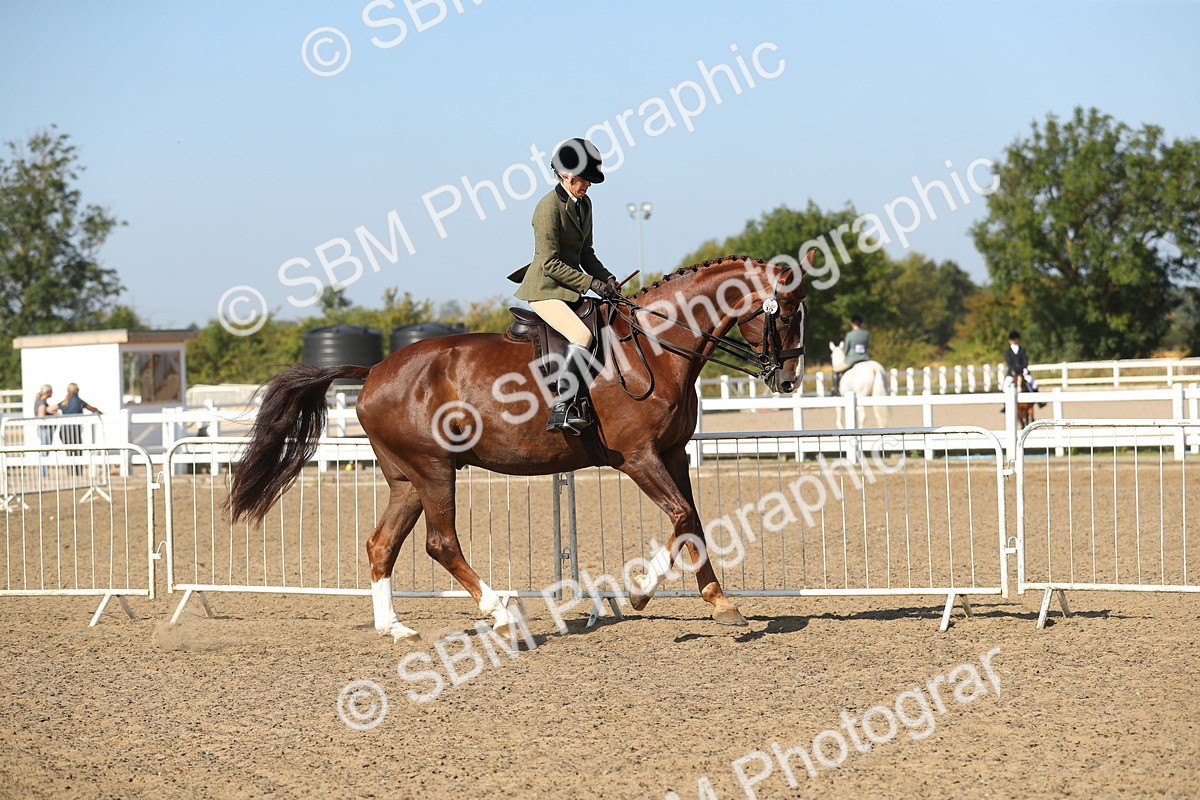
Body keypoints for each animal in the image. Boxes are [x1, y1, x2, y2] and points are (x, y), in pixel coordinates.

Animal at [227, 254, 809, 642]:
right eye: (785, 314)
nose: (788, 381)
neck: (655, 347)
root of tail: (372, 372)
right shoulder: (638, 457)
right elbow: (683, 516)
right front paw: (643, 591)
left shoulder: (672, 454)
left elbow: (692, 521)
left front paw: (717, 601)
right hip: (434, 469)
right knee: (440, 543)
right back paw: (502, 612)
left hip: (406, 479)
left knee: (381, 545)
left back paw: (395, 627)